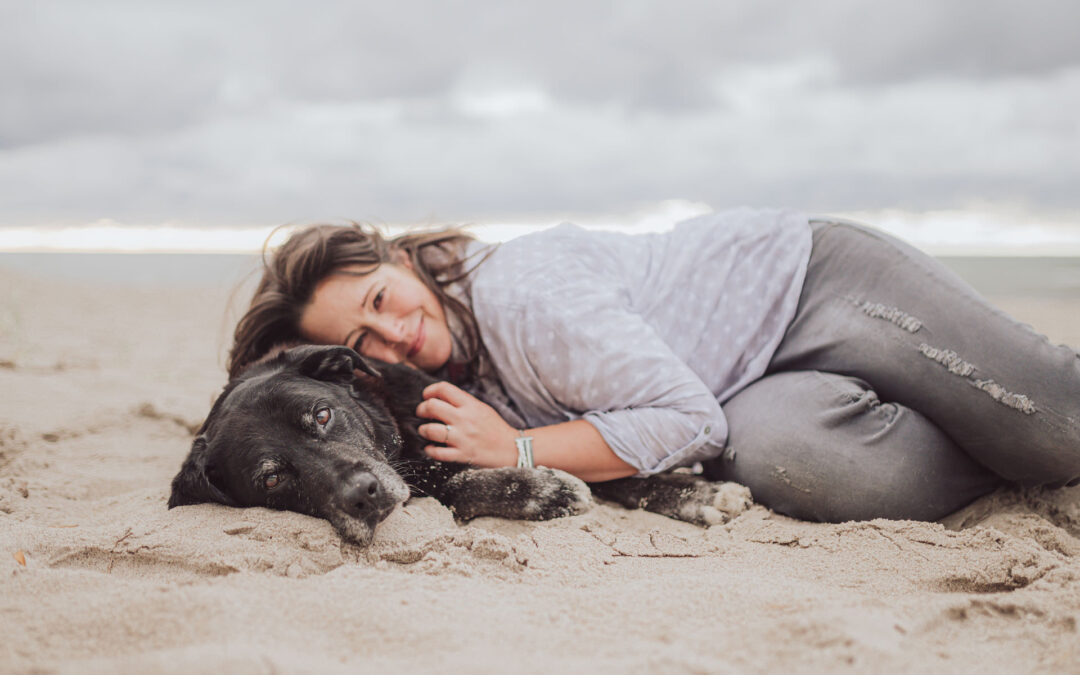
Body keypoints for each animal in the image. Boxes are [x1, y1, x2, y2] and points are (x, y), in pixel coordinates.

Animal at [168, 345, 747, 544]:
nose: (364, 496)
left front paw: (697, 494)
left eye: (322, 415)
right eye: (271, 478)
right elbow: (461, 484)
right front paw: (545, 493)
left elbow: (621, 468)